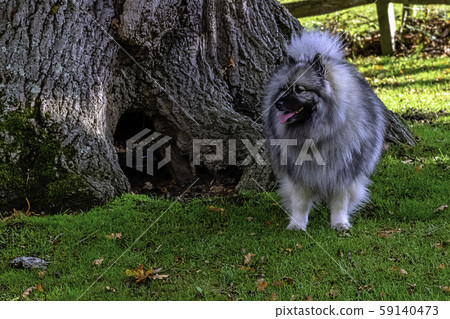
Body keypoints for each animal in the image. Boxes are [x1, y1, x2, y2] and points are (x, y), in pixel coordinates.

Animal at [264, 31, 386, 231]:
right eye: (284, 88)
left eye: (299, 89)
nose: (277, 104)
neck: (317, 134)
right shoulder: (299, 173)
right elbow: (300, 202)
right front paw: (297, 224)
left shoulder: (343, 170)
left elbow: (340, 200)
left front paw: (339, 222)